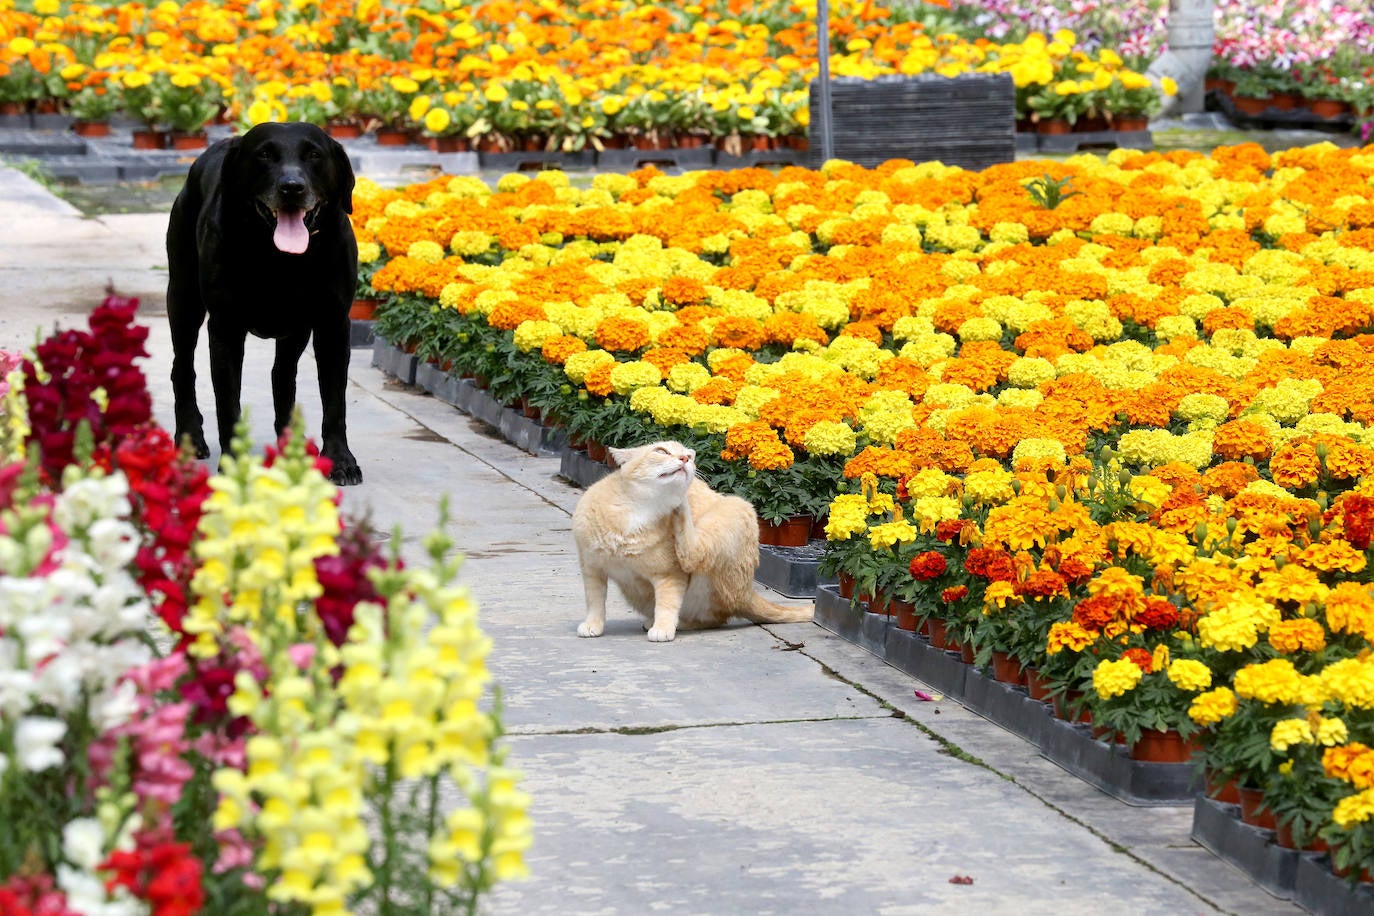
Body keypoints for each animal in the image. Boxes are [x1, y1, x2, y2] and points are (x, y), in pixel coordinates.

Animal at [164, 121, 365, 486]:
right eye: (264, 155)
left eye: (314, 155)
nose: (292, 187)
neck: (280, 258)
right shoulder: (225, 329)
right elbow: (228, 405)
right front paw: (233, 465)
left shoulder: (333, 325)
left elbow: (334, 401)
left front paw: (340, 459)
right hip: (183, 299)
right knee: (182, 368)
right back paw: (190, 436)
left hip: (296, 331)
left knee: (282, 376)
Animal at [571, 439, 807, 642]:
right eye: (661, 451)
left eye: (689, 456)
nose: (685, 459)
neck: (640, 508)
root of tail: (747, 593)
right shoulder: (592, 569)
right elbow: (595, 601)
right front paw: (593, 625)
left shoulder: (669, 575)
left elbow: (667, 604)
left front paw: (663, 628)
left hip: (734, 508)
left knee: (695, 561)